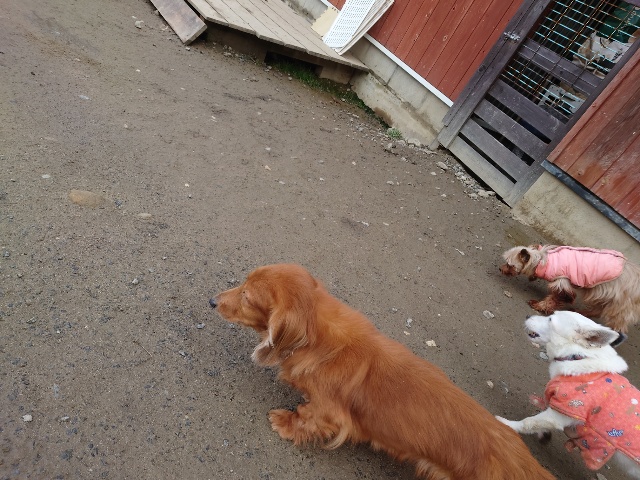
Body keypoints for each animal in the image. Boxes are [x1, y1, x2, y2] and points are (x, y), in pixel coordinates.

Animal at [210, 263, 554, 479]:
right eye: (244, 282)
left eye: (247, 297)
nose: (212, 301)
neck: (321, 342)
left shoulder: (328, 412)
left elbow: (307, 417)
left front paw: (285, 422)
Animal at [497, 311, 640, 478]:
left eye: (550, 319)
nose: (527, 316)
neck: (578, 356)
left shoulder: (560, 414)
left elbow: (529, 422)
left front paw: (507, 424)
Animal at [500, 245, 640, 335]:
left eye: (509, 265)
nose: (500, 269)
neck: (541, 260)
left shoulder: (562, 283)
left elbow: (554, 298)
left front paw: (539, 306)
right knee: (597, 310)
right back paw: (581, 313)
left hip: (619, 306)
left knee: (617, 325)